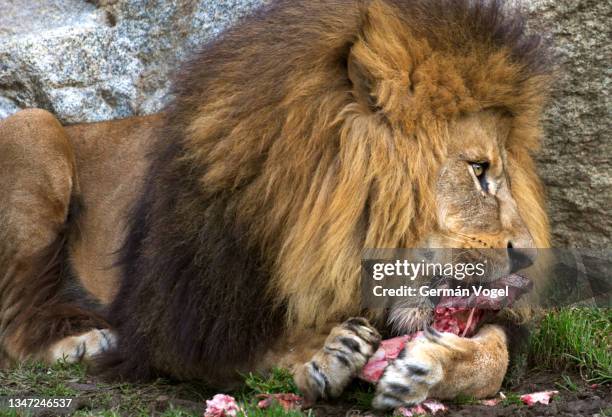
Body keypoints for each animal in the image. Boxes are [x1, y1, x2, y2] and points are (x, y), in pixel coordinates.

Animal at [0, 0, 556, 410]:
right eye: (478, 170)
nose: (530, 257)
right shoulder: (177, 317)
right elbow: (249, 349)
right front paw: (325, 356)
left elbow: (496, 357)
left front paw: (425, 368)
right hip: (34, 128)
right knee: (11, 327)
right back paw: (83, 341)